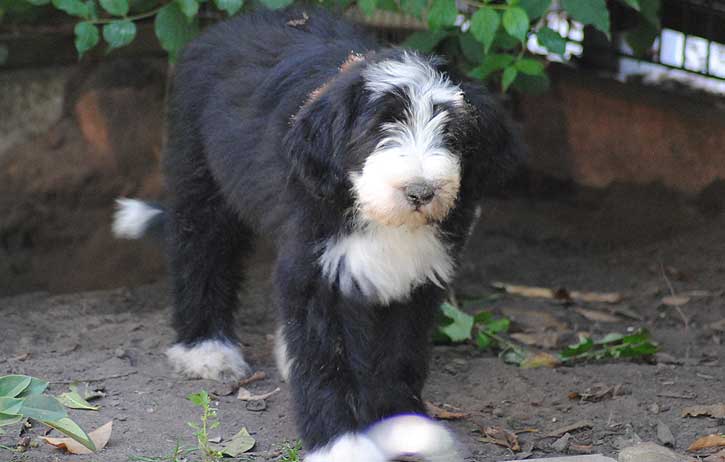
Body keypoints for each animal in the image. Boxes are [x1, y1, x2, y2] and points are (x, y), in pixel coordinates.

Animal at [111, 8, 520, 462]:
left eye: (452, 133)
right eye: (378, 129)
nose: (420, 191)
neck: (377, 216)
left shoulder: (414, 277)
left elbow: (399, 356)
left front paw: (406, 431)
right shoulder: (318, 269)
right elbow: (325, 358)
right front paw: (341, 444)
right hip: (198, 172)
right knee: (200, 248)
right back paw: (205, 347)